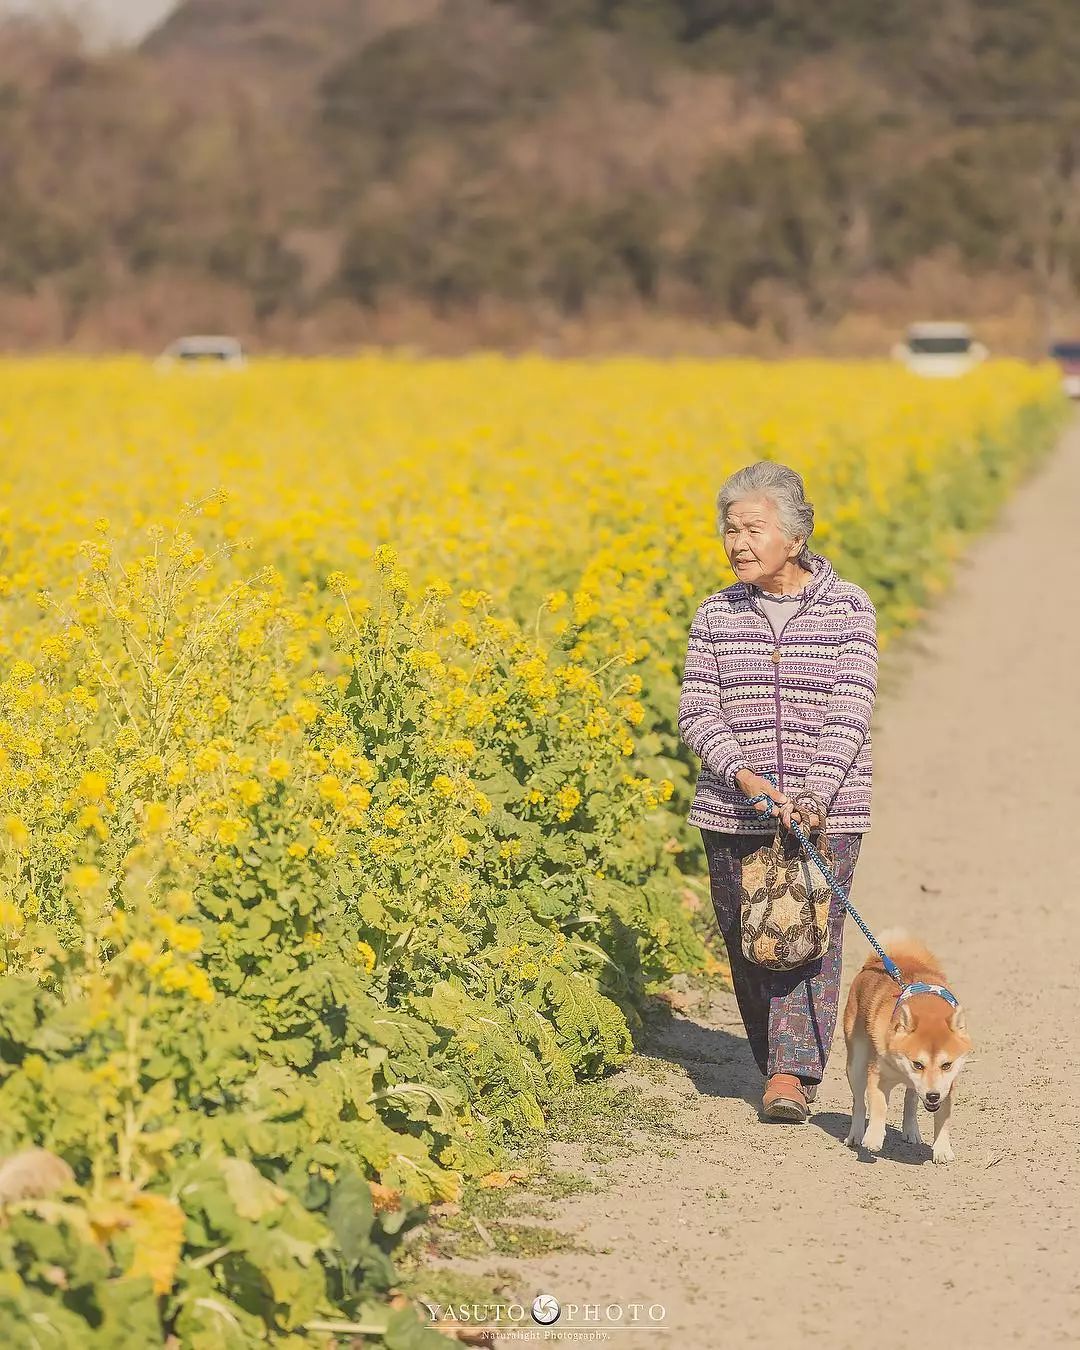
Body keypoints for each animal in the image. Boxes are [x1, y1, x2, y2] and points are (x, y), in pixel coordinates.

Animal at [842, 928, 972, 1161]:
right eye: (917, 1064)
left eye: (946, 1065)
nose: (932, 1095)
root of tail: (876, 961)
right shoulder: (877, 1075)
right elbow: (878, 1106)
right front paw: (873, 1138)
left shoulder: (947, 1086)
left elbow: (943, 1118)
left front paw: (942, 1149)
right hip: (856, 1063)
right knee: (859, 1102)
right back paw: (856, 1135)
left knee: (910, 1101)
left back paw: (911, 1131)